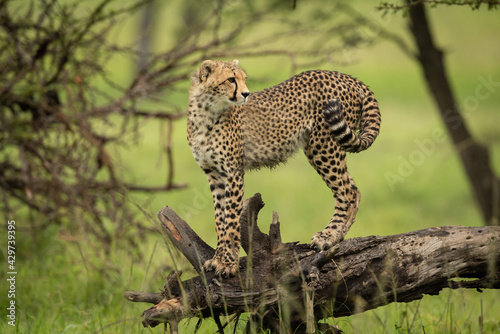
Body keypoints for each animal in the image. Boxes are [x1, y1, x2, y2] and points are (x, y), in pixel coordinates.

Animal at [187, 60, 378, 276]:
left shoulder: (233, 173)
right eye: (230, 79)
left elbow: (231, 220)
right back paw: (337, 237)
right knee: (352, 189)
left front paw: (228, 263)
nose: (246, 94)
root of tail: (346, 76)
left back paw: (328, 236)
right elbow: (220, 219)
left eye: (243, 78)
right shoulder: (215, 175)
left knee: (348, 192)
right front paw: (217, 259)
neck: (206, 112)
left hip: (323, 145)